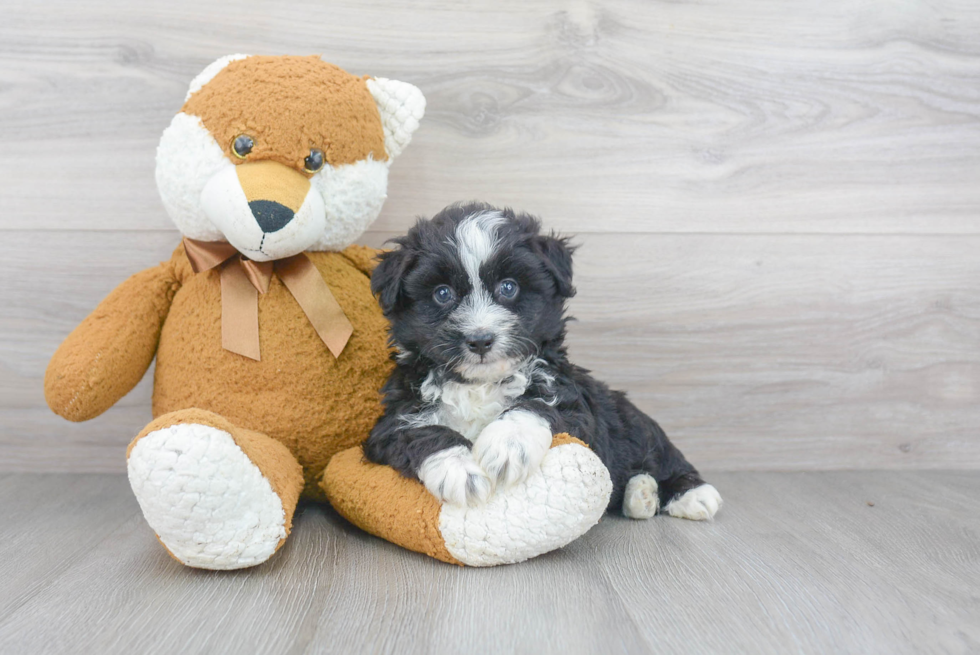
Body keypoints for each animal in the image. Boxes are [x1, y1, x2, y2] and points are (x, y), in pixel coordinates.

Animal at [364, 202, 724, 520]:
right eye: (442, 294)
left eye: (509, 287)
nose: (480, 339)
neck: (480, 384)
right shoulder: (391, 423)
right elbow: (423, 432)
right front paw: (460, 471)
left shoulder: (575, 406)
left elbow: (536, 404)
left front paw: (508, 445)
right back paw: (641, 495)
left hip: (631, 421)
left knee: (661, 452)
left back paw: (690, 494)